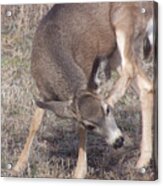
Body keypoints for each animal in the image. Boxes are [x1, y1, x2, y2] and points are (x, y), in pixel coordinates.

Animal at [12, 1, 156, 179]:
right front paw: (18, 166)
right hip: (114, 53)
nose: (118, 141)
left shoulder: (86, 70)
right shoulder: (44, 93)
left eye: (108, 111)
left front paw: (79, 172)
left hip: (123, 23)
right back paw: (142, 161)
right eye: (90, 125)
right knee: (146, 85)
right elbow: (35, 124)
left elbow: (79, 130)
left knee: (130, 69)